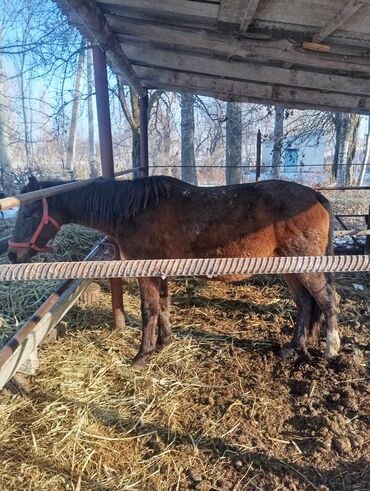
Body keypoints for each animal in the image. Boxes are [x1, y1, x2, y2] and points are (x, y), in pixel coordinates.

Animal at [7, 176, 342, 366]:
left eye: (30, 211)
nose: (12, 254)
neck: (134, 208)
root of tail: (316, 196)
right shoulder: (161, 268)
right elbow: (163, 305)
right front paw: (163, 343)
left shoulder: (144, 269)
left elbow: (148, 309)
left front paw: (142, 356)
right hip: (290, 268)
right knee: (305, 304)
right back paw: (294, 348)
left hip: (304, 265)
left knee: (326, 300)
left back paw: (331, 348)